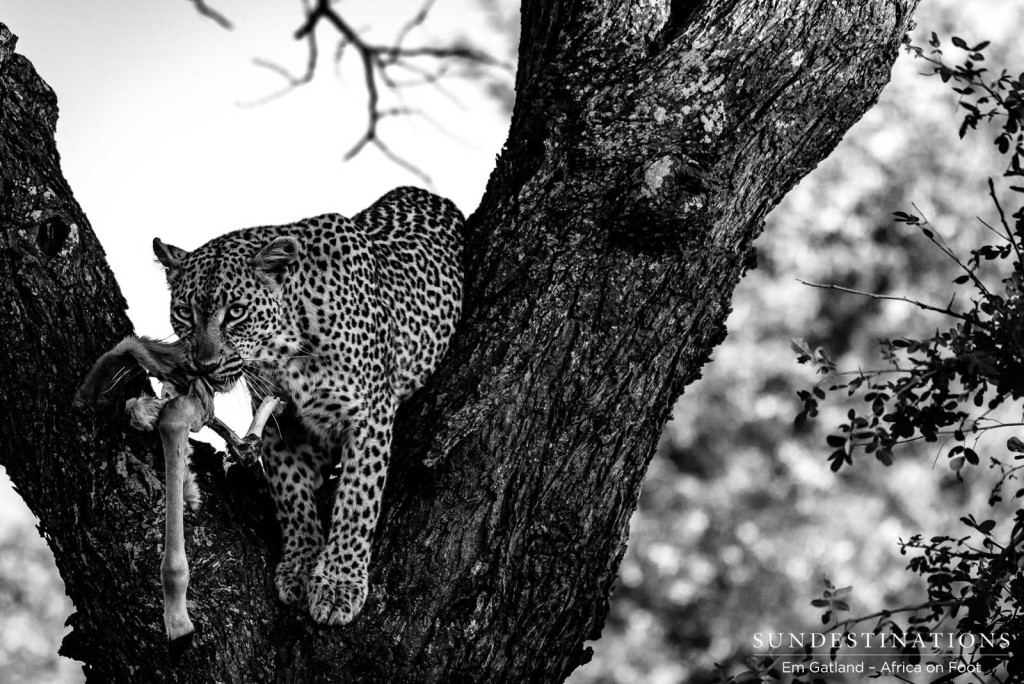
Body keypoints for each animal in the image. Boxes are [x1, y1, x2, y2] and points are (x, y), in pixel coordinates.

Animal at [151, 187, 464, 626]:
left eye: (236, 312)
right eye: (184, 313)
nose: (204, 365)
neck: (287, 346)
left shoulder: (370, 413)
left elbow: (358, 499)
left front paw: (339, 582)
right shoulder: (277, 423)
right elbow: (291, 495)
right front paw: (299, 565)